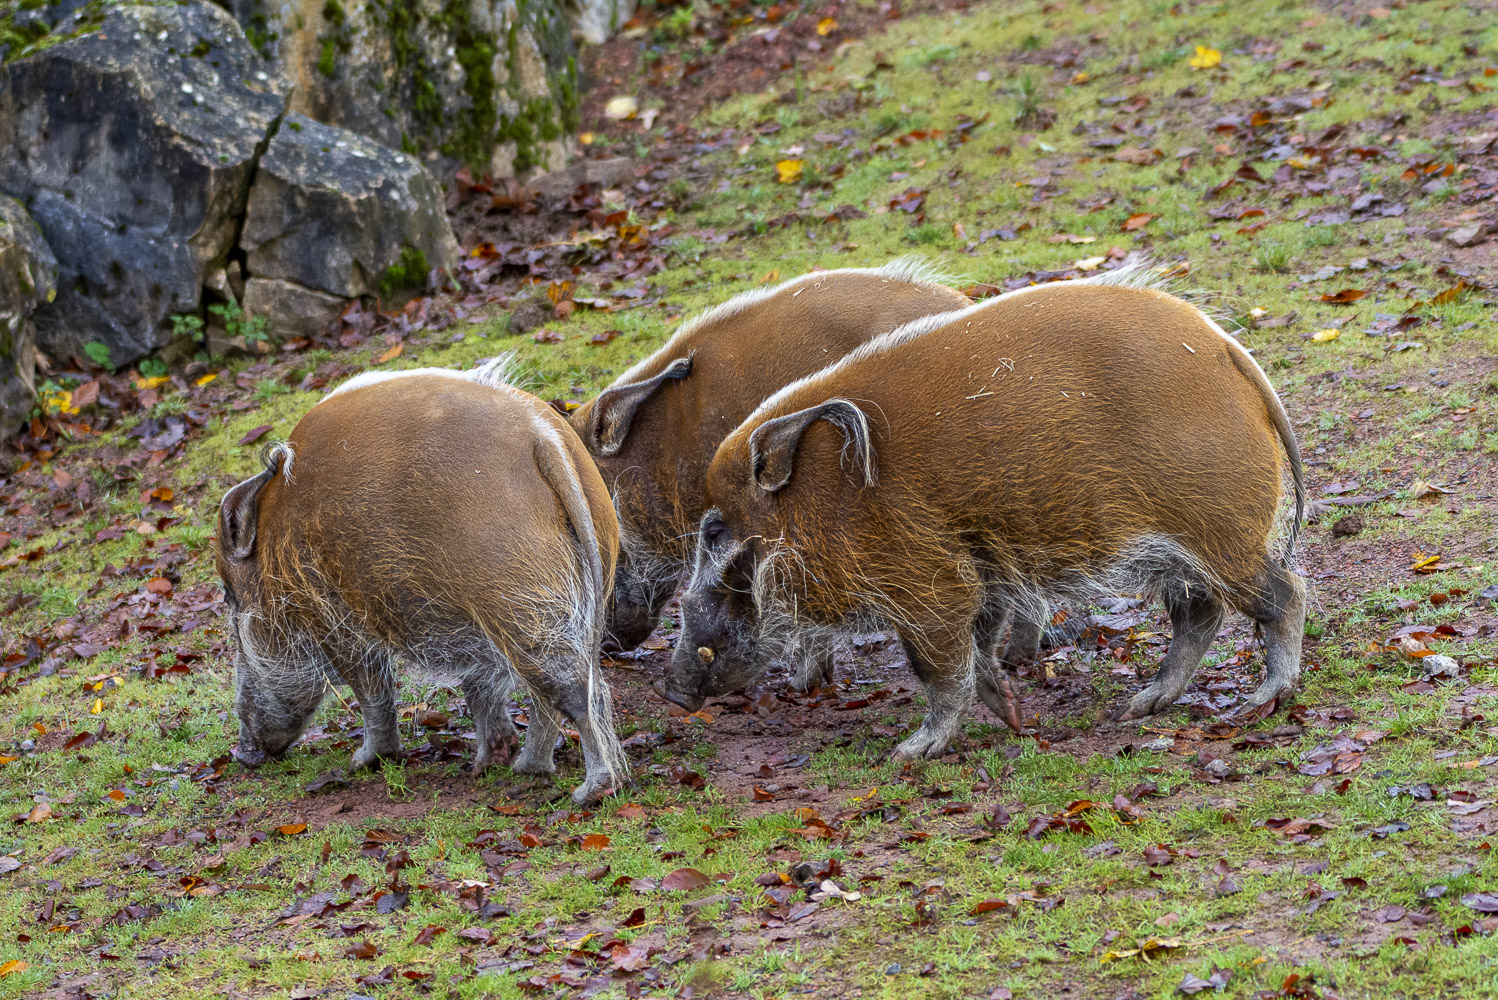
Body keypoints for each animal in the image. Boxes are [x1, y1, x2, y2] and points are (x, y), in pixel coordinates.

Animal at [214, 359, 623, 802]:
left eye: (229, 597)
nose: (242, 754)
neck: (277, 548)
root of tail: (543, 437)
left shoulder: (338, 619)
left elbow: (371, 689)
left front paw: (365, 761)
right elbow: (479, 687)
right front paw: (487, 760)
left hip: (522, 600)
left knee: (577, 690)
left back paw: (594, 789)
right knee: (553, 691)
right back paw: (527, 769)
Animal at [668, 264, 1312, 757]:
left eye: (718, 531)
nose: (669, 692)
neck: (829, 496)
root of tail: (1229, 351)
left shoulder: (929, 588)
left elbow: (939, 669)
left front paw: (911, 752)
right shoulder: (979, 575)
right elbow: (977, 657)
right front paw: (1015, 717)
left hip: (1220, 532)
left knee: (1283, 592)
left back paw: (1263, 700)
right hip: (1179, 547)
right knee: (1200, 613)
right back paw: (1139, 706)